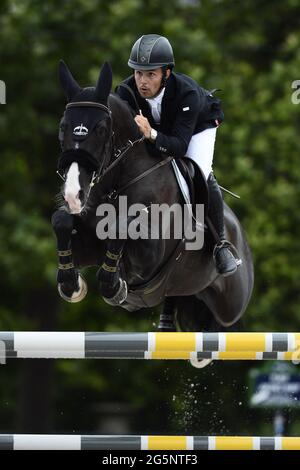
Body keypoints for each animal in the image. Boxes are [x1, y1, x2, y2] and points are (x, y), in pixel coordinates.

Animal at [51, 59, 253, 352]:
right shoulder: (89, 246)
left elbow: (122, 226)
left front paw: (114, 286)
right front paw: (73, 284)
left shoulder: (151, 255)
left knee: (226, 320)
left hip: (233, 300)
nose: (73, 195)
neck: (117, 184)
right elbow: (62, 221)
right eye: (63, 127)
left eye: (100, 129)